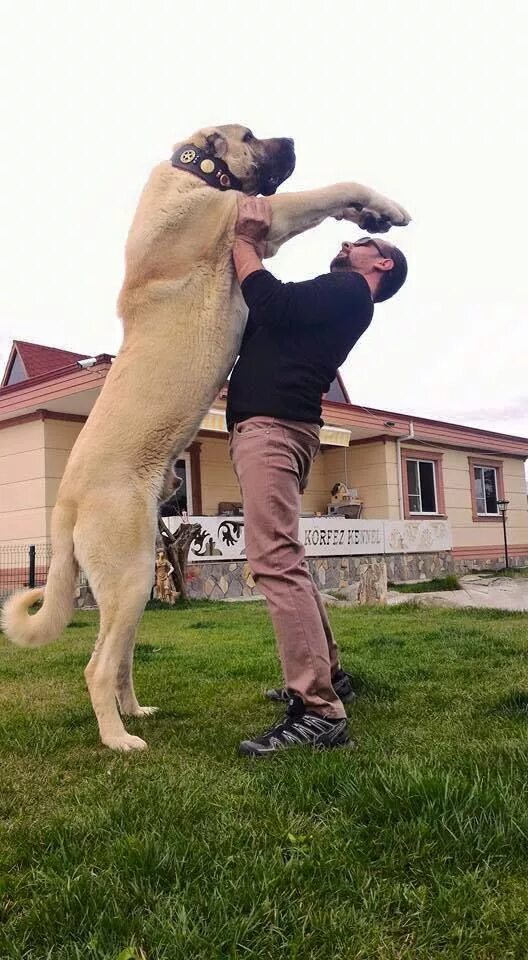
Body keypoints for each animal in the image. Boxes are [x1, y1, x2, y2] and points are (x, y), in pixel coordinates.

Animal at [2, 124, 410, 752]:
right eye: (250, 135)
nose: (291, 140)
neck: (195, 175)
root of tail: (65, 501)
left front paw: (373, 216)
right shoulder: (258, 219)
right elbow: (331, 188)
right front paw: (385, 205)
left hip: (136, 577)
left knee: (117, 656)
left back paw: (134, 712)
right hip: (129, 572)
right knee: (97, 665)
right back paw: (118, 739)